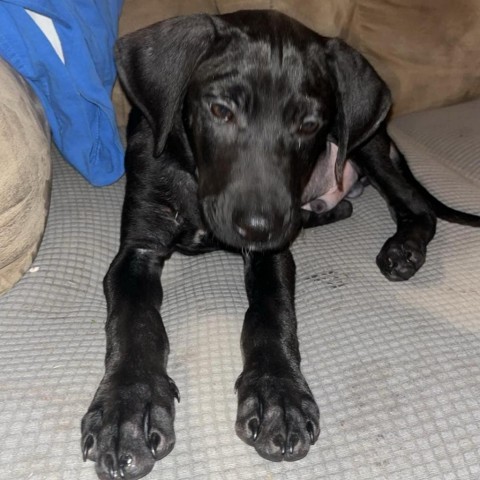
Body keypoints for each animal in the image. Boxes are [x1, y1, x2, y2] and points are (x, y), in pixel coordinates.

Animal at [80, 11, 478, 480]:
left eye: (308, 125)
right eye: (220, 110)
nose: (259, 227)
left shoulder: (270, 255)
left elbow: (270, 316)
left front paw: (278, 396)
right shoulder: (137, 250)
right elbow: (134, 321)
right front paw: (127, 406)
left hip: (368, 145)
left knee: (418, 208)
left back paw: (404, 250)